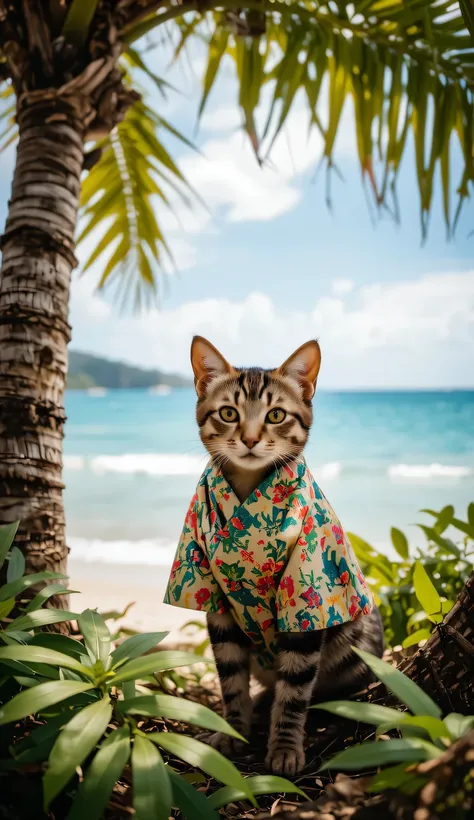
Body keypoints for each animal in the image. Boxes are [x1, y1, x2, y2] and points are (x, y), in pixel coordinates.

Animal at [190, 334, 386, 776]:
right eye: (228, 413)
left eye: (276, 415)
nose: (249, 439)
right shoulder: (215, 597)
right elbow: (230, 677)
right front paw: (233, 729)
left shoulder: (304, 602)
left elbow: (295, 691)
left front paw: (283, 747)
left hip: (357, 647)